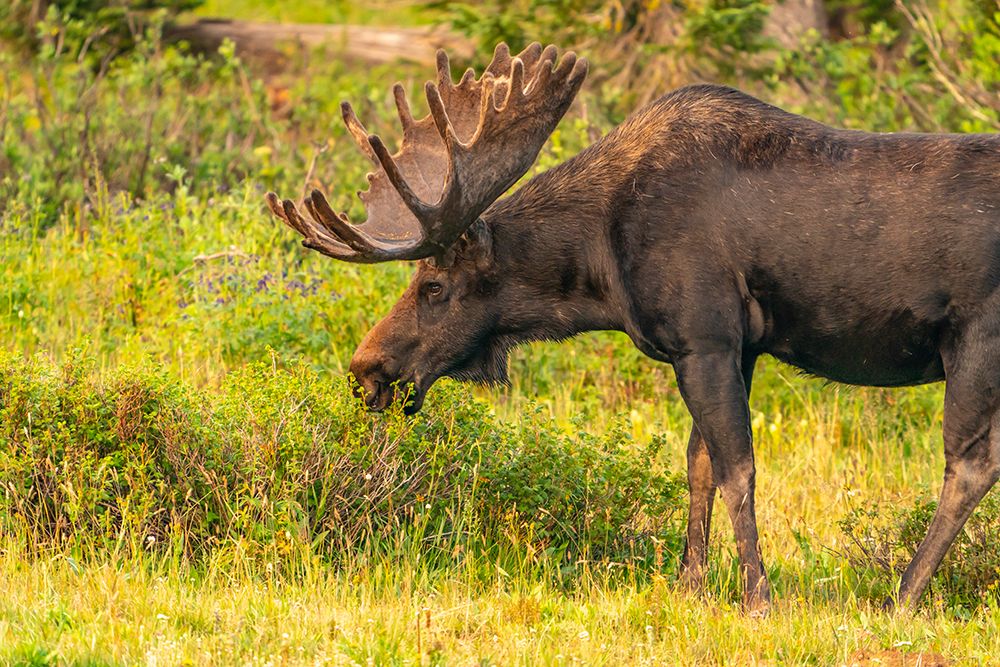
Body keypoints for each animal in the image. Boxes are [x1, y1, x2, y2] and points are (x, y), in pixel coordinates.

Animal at [266, 42, 1000, 615]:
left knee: (969, 464)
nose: (365, 368)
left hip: (976, 341)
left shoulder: (706, 336)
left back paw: (903, 594)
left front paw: (757, 596)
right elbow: (698, 463)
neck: (601, 268)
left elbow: (736, 467)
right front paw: (689, 585)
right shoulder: (735, 347)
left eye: (434, 287)